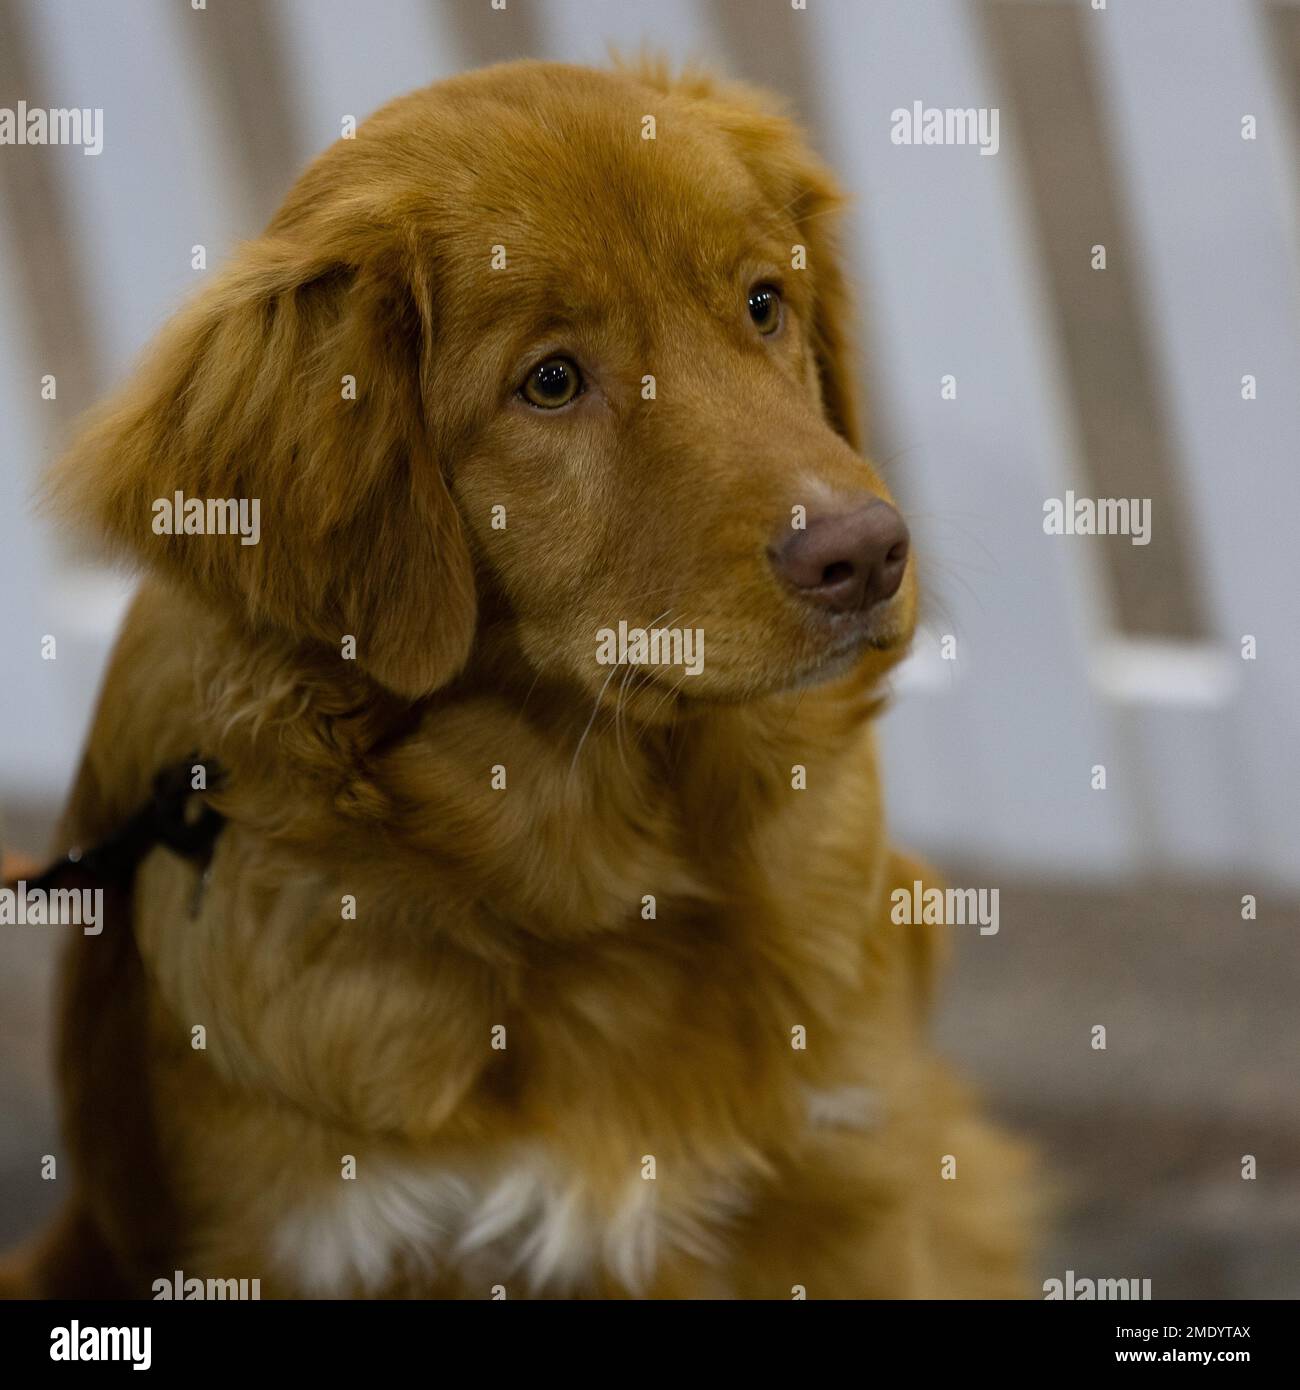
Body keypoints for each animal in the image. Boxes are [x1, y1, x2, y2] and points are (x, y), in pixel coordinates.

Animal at [5, 59, 1034, 1295]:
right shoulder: (316, 1238)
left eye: (762, 303)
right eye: (549, 382)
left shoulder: (845, 1178)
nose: (869, 555)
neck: (596, 885)